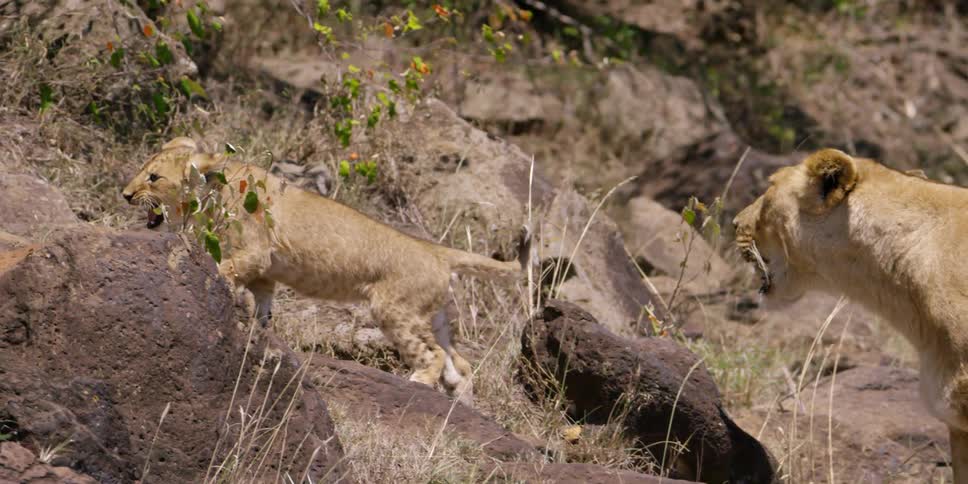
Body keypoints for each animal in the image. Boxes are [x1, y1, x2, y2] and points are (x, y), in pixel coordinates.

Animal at [122, 137, 530, 404]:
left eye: (153, 177)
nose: (125, 195)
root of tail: (436, 250)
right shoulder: (265, 274)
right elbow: (264, 310)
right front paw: (259, 333)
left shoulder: (255, 254)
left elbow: (224, 270)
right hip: (435, 317)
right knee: (460, 363)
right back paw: (461, 407)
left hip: (395, 310)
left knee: (433, 356)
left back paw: (417, 383)